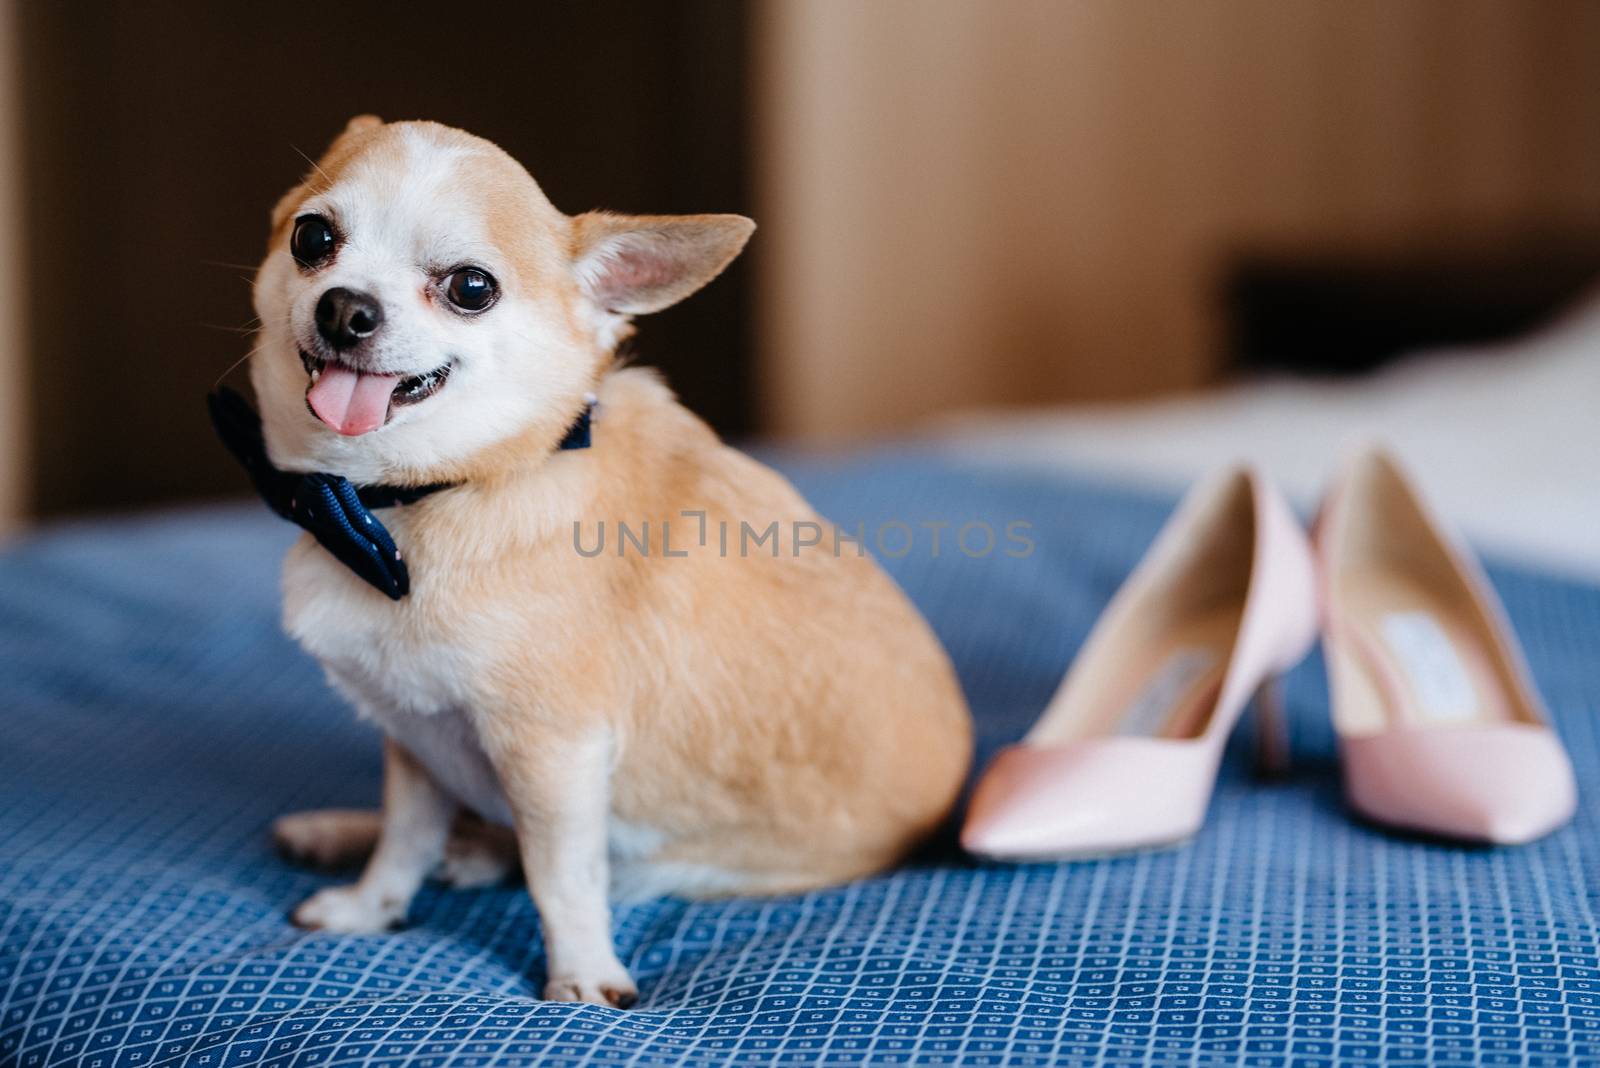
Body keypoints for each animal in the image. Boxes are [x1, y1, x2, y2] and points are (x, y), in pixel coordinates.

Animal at [256, 119, 966, 1010]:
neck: (402, 501)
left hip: (695, 860)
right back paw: (346, 832)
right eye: (313, 239)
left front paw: (584, 976)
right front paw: (367, 909)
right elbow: (404, 841)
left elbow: (560, 875)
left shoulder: (554, 755)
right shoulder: (417, 737)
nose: (345, 307)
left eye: (471, 289)